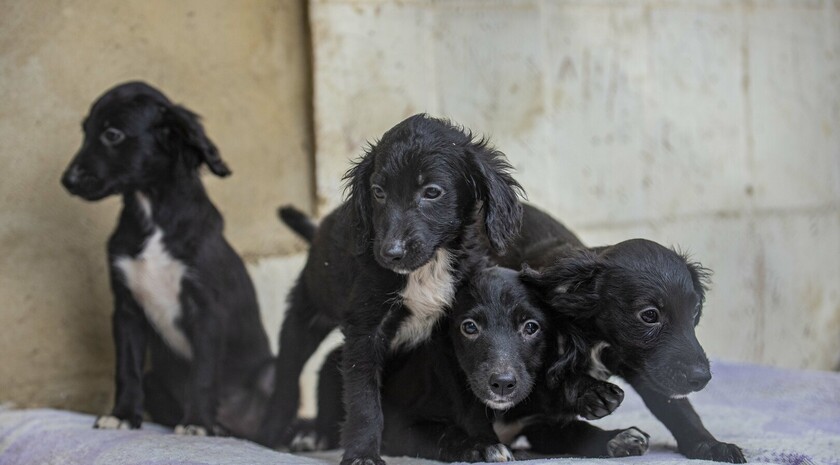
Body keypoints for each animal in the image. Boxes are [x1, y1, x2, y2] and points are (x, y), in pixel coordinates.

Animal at [60, 81, 276, 436]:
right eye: (85, 131)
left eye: (112, 134)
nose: (68, 180)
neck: (152, 213)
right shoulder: (127, 311)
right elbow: (127, 368)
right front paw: (122, 414)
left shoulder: (207, 310)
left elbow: (202, 373)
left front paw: (197, 422)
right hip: (155, 379)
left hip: (271, 376)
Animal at [260, 113, 524, 464]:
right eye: (378, 191)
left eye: (432, 191)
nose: (390, 253)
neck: (428, 267)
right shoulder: (365, 329)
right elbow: (363, 400)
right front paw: (362, 453)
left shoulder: (453, 331)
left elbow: (469, 398)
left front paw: (483, 442)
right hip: (306, 314)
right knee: (288, 378)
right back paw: (277, 434)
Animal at [496, 205, 744, 462]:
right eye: (649, 315)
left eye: (694, 310)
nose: (702, 377)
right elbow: (548, 382)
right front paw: (591, 391)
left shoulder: (644, 367)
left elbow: (677, 407)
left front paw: (709, 444)